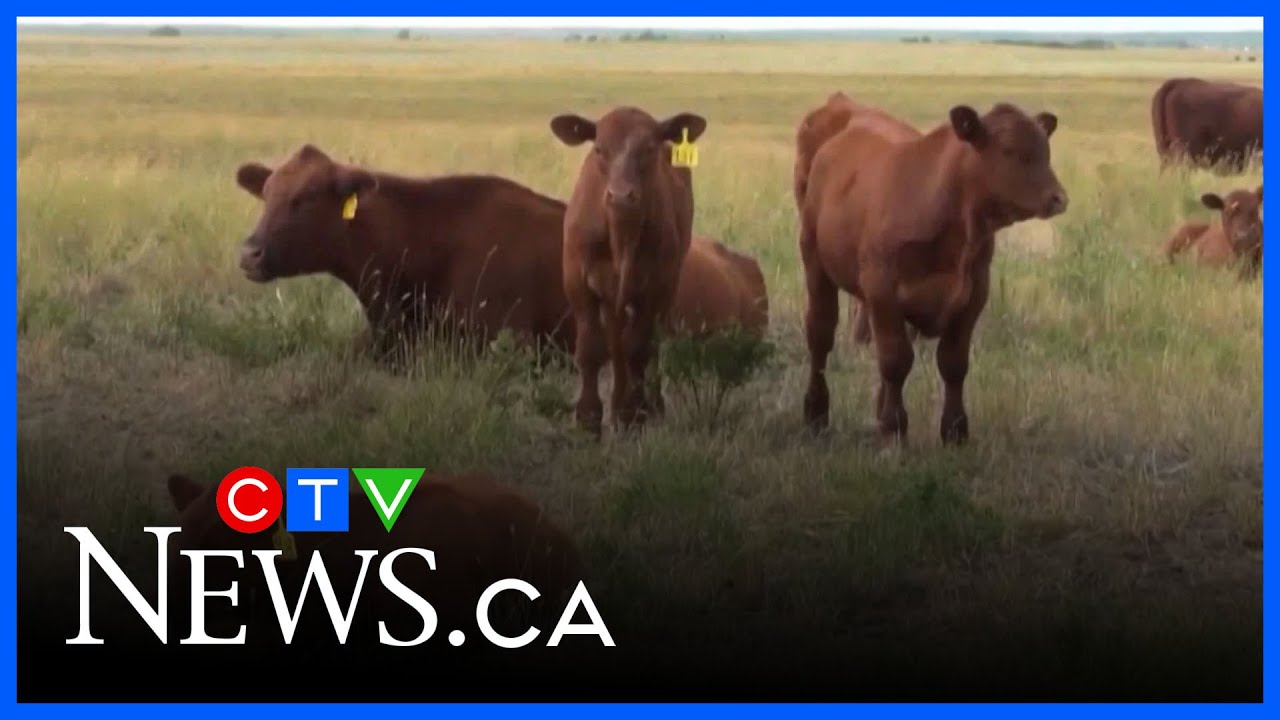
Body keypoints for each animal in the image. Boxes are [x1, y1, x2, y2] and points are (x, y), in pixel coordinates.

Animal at [550, 106, 708, 436]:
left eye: (648, 148)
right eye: (599, 149)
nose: (622, 196)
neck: (621, 234)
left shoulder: (654, 286)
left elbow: (638, 348)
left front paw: (633, 413)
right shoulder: (578, 283)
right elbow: (591, 348)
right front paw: (589, 416)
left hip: (664, 289)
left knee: (648, 344)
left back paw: (649, 404)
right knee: (615, 341)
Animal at [798, 97, 1068, 446]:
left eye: (1046, 150)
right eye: (1009, 149)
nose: (1059, 198)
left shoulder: (973, 294)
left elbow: (952, 363)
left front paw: (954, 430)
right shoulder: (883, 290)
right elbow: (896, 361)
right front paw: (895, 429)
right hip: (816, 266)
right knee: (820, 337)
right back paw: (816, 414)